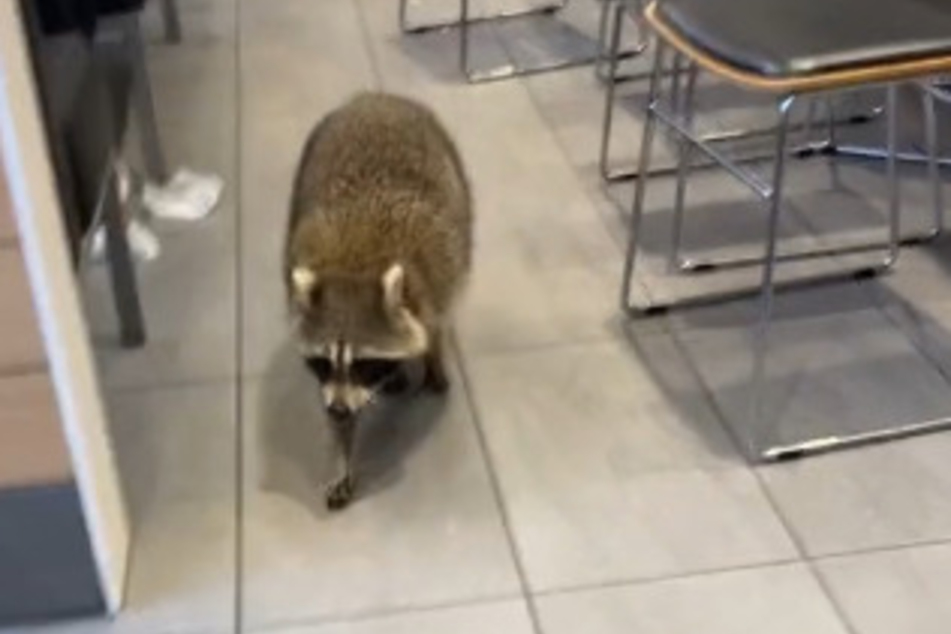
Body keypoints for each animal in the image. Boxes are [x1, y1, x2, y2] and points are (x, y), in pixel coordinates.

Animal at [284, 92, 472, 510]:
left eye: (364, 363)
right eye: (322, 362)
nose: (338, 410)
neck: (352, 267)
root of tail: (374, 98)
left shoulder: (437, 278)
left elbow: (434, 323)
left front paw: (432, 355)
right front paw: (341, 452)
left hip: (458, 192)